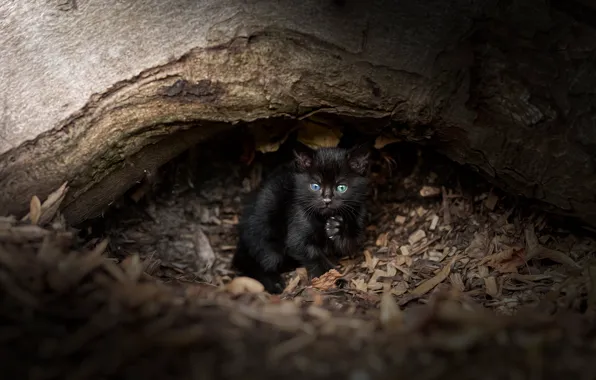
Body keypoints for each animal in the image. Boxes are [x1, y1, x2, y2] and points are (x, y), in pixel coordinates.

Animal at [230, 142, 370, 294]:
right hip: (266, 215)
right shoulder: (298, 219)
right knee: (254, 259)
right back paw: (273, 282)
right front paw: (333, 279)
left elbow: (350, 243)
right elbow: (311, 254)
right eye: (315, 186)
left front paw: (337, 227)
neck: (323, 218)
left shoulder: (359, 214)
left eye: (341, 187)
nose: (327, 200)